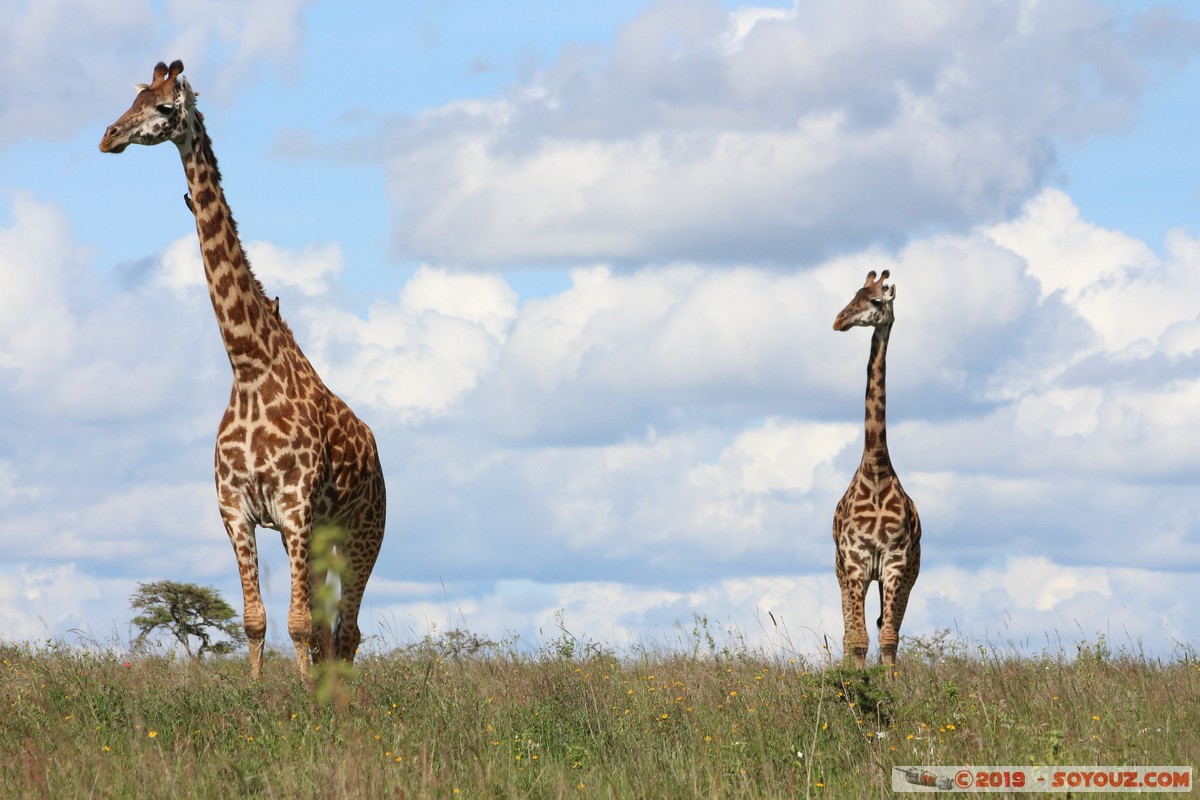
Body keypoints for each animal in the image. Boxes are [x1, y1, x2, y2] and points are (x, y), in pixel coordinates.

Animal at [103, 61, 386, 681]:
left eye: (164, 108)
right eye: (133, 98)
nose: (108, 137)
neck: (249, 365)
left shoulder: (295, 508)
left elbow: (298, 623)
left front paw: (305, 701)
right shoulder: (238, 511)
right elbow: (257, 621)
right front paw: (256, 696)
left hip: (364, 530)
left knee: (348, 630)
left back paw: (344, 697)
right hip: (319, 538)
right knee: (332, 631)